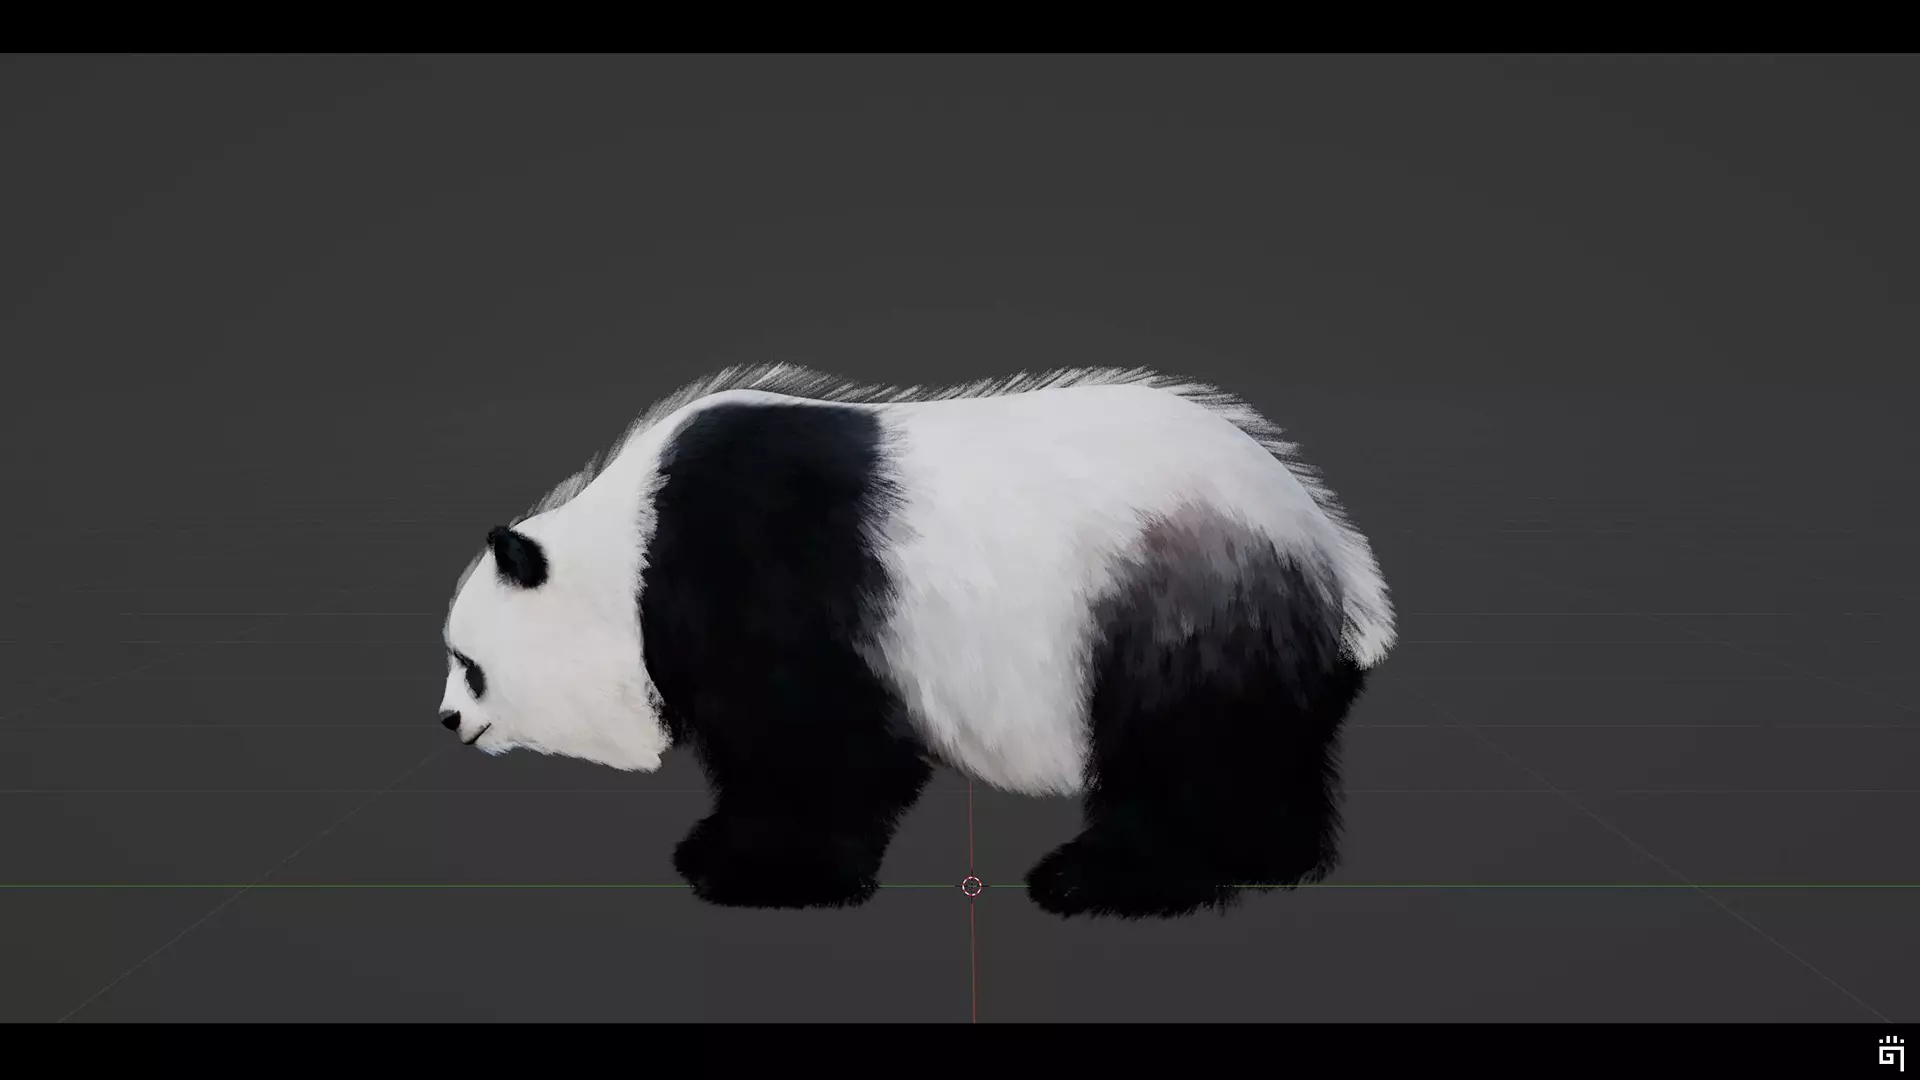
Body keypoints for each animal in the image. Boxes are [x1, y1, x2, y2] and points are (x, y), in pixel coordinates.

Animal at [437, 364, 1394, 919]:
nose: (447, 723)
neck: (627, 550)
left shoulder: (760, 574)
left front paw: (748, 867)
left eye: (468, 665)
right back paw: (1270, 860)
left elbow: (821, 746)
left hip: (1175, 602)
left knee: (1188, 747)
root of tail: (1337, 554)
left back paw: (1103, 878)